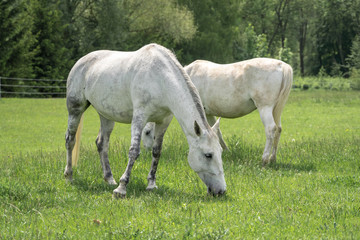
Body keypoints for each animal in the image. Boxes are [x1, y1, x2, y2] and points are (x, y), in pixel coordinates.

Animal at [64, 44, 225, 198]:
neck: (160, 79)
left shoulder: (163, 121)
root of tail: (81, 61)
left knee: (102, 143)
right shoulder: (139, 117)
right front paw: (121, 188)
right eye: (208, 155)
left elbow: (156, 151)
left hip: (106, 115)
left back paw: (109, 179)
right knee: (70, 140)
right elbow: (134, 151)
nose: (221, 191)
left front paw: (151, 185)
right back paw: (69, 177)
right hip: (75, 109)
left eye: (220, 152)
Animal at [143, 58, 292, 167]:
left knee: (271, 129)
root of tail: (282, 66)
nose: (147, 151)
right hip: (276, 109)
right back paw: (273, 158)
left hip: (265, 107)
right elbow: (216, 131)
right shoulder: (208, 113)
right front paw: (225, 150)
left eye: (147, 132)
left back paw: (265, 159)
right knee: (278, 129)